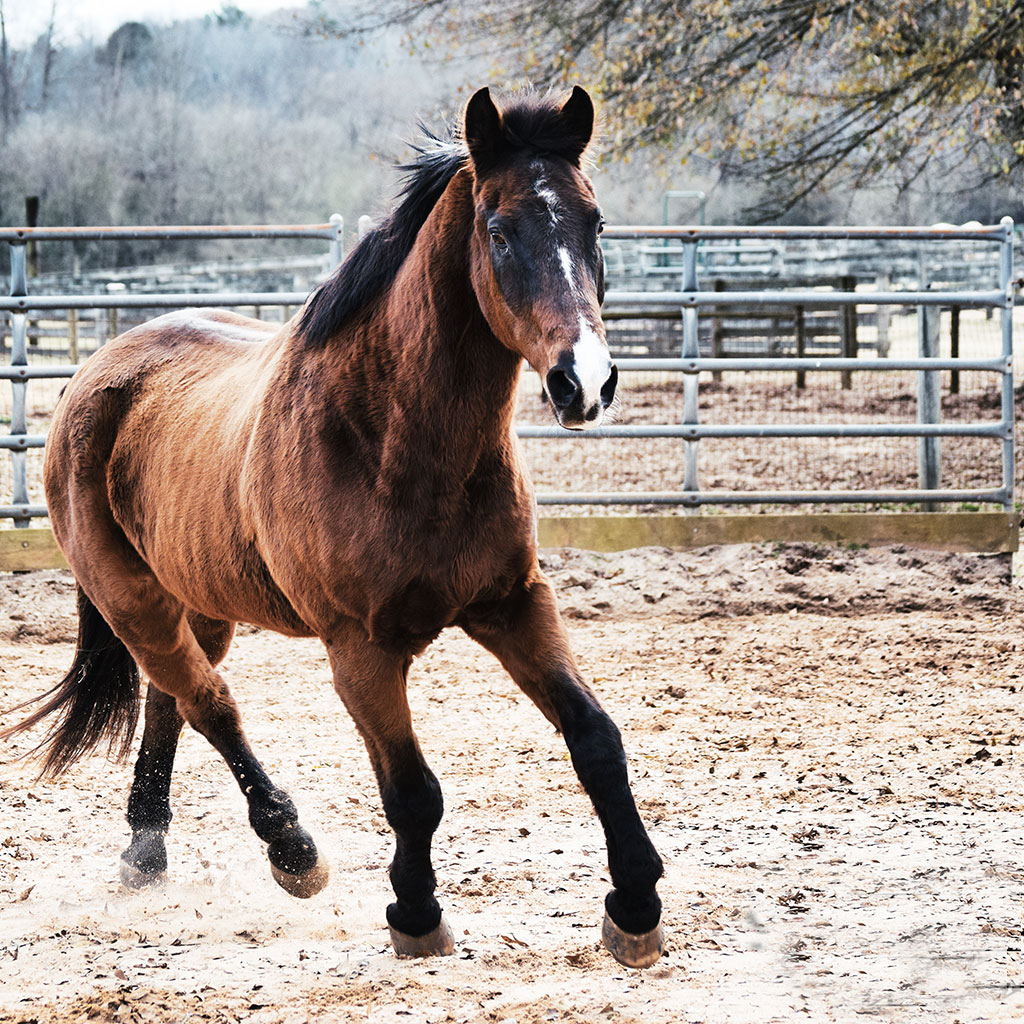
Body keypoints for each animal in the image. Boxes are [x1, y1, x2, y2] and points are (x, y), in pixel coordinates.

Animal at [2, 88, 663, 966]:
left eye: (595, 223)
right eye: (499, 230)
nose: (583, 383)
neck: (392, 440)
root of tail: (96, 376)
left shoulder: (515, 604)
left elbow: (596, 740)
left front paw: (636, 906)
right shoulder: (360, 649)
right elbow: (412, 791)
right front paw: (415, 914)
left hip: (199, 604)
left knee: (171, 701)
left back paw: (146, 851)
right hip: (133, 602)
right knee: (211, 704)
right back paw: (291, 850)